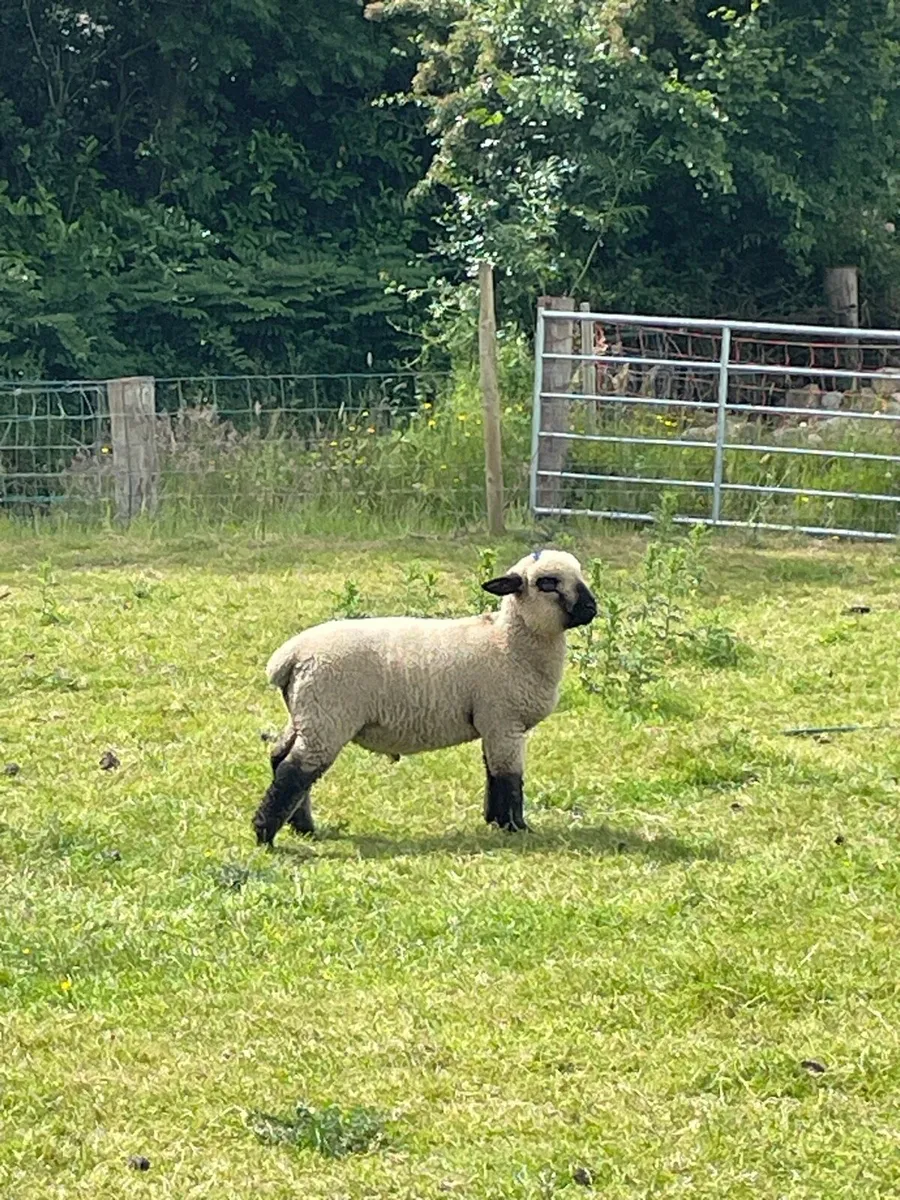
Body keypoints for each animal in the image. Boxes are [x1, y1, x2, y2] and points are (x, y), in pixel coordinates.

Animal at [252, 549, 597, 846]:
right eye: (547, 583)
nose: (592, 609)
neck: (508, 641)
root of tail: (290, 657)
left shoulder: (492, 725)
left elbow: (492, 772)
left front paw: (495, 821)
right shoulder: (504, 720)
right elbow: (508, 777)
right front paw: (515, 826)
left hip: (305, 713)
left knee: (279, 757)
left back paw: (303, 827)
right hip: (327, 718)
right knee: (294, 772)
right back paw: (265, 835)